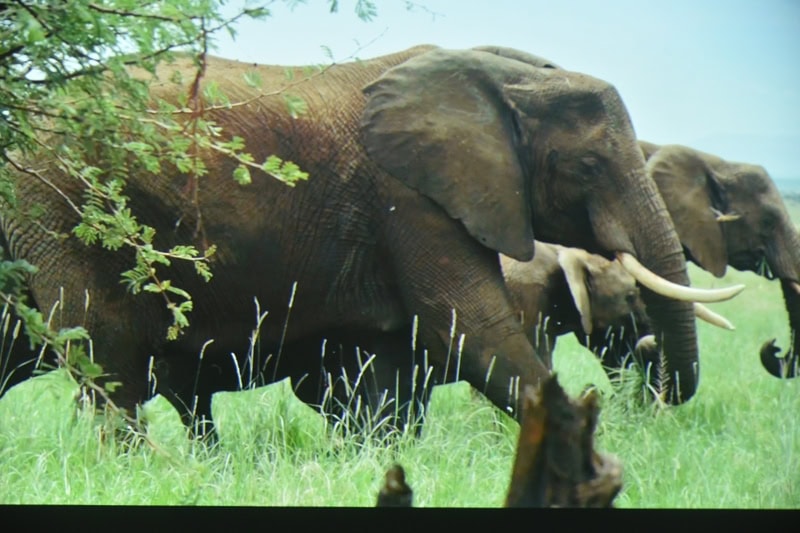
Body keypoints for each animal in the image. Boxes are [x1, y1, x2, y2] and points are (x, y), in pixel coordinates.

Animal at [0, 45, 741, 440]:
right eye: (587, 167)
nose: (651, 375)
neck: (500, 72)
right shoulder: (410, 197)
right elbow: (472, 325)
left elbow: (392, 370)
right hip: (63, 209)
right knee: (106, 357)